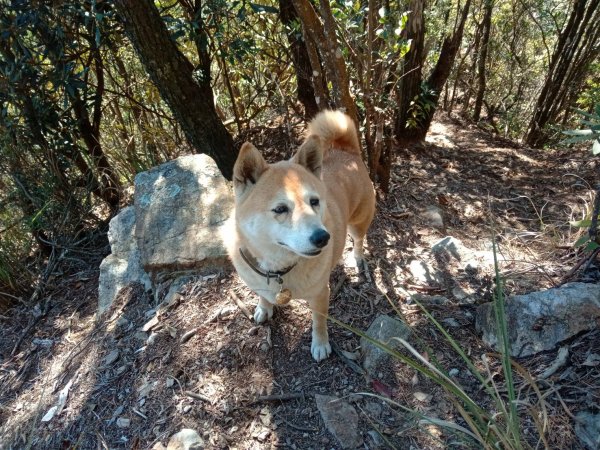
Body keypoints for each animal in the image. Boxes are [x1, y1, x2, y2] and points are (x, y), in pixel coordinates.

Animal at [226, 110, 376, 362]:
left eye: (314, 201)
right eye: (280, 209)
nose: (323, 238)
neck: (278, 271)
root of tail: (347, 151)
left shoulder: (320, 294)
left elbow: (319, 323)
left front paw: (320, 344)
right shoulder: (258, 280)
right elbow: (263, 296)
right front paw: (264, 308)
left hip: (358, 223)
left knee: (358, 240)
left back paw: (357, 258)